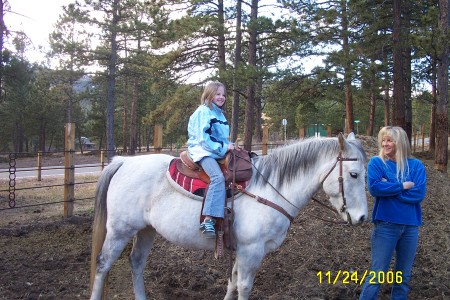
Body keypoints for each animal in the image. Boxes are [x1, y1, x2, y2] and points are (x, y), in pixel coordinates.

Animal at [89, 134, 368, 300]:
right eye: (354, 174)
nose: (363, 217)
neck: (270, 188)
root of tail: (123, 162)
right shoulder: (252, 250)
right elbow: (243, 286)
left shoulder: (242, 250)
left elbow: (232, 282)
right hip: (120, 230)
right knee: (102, 265)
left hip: (147, 229)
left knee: (136, 262)